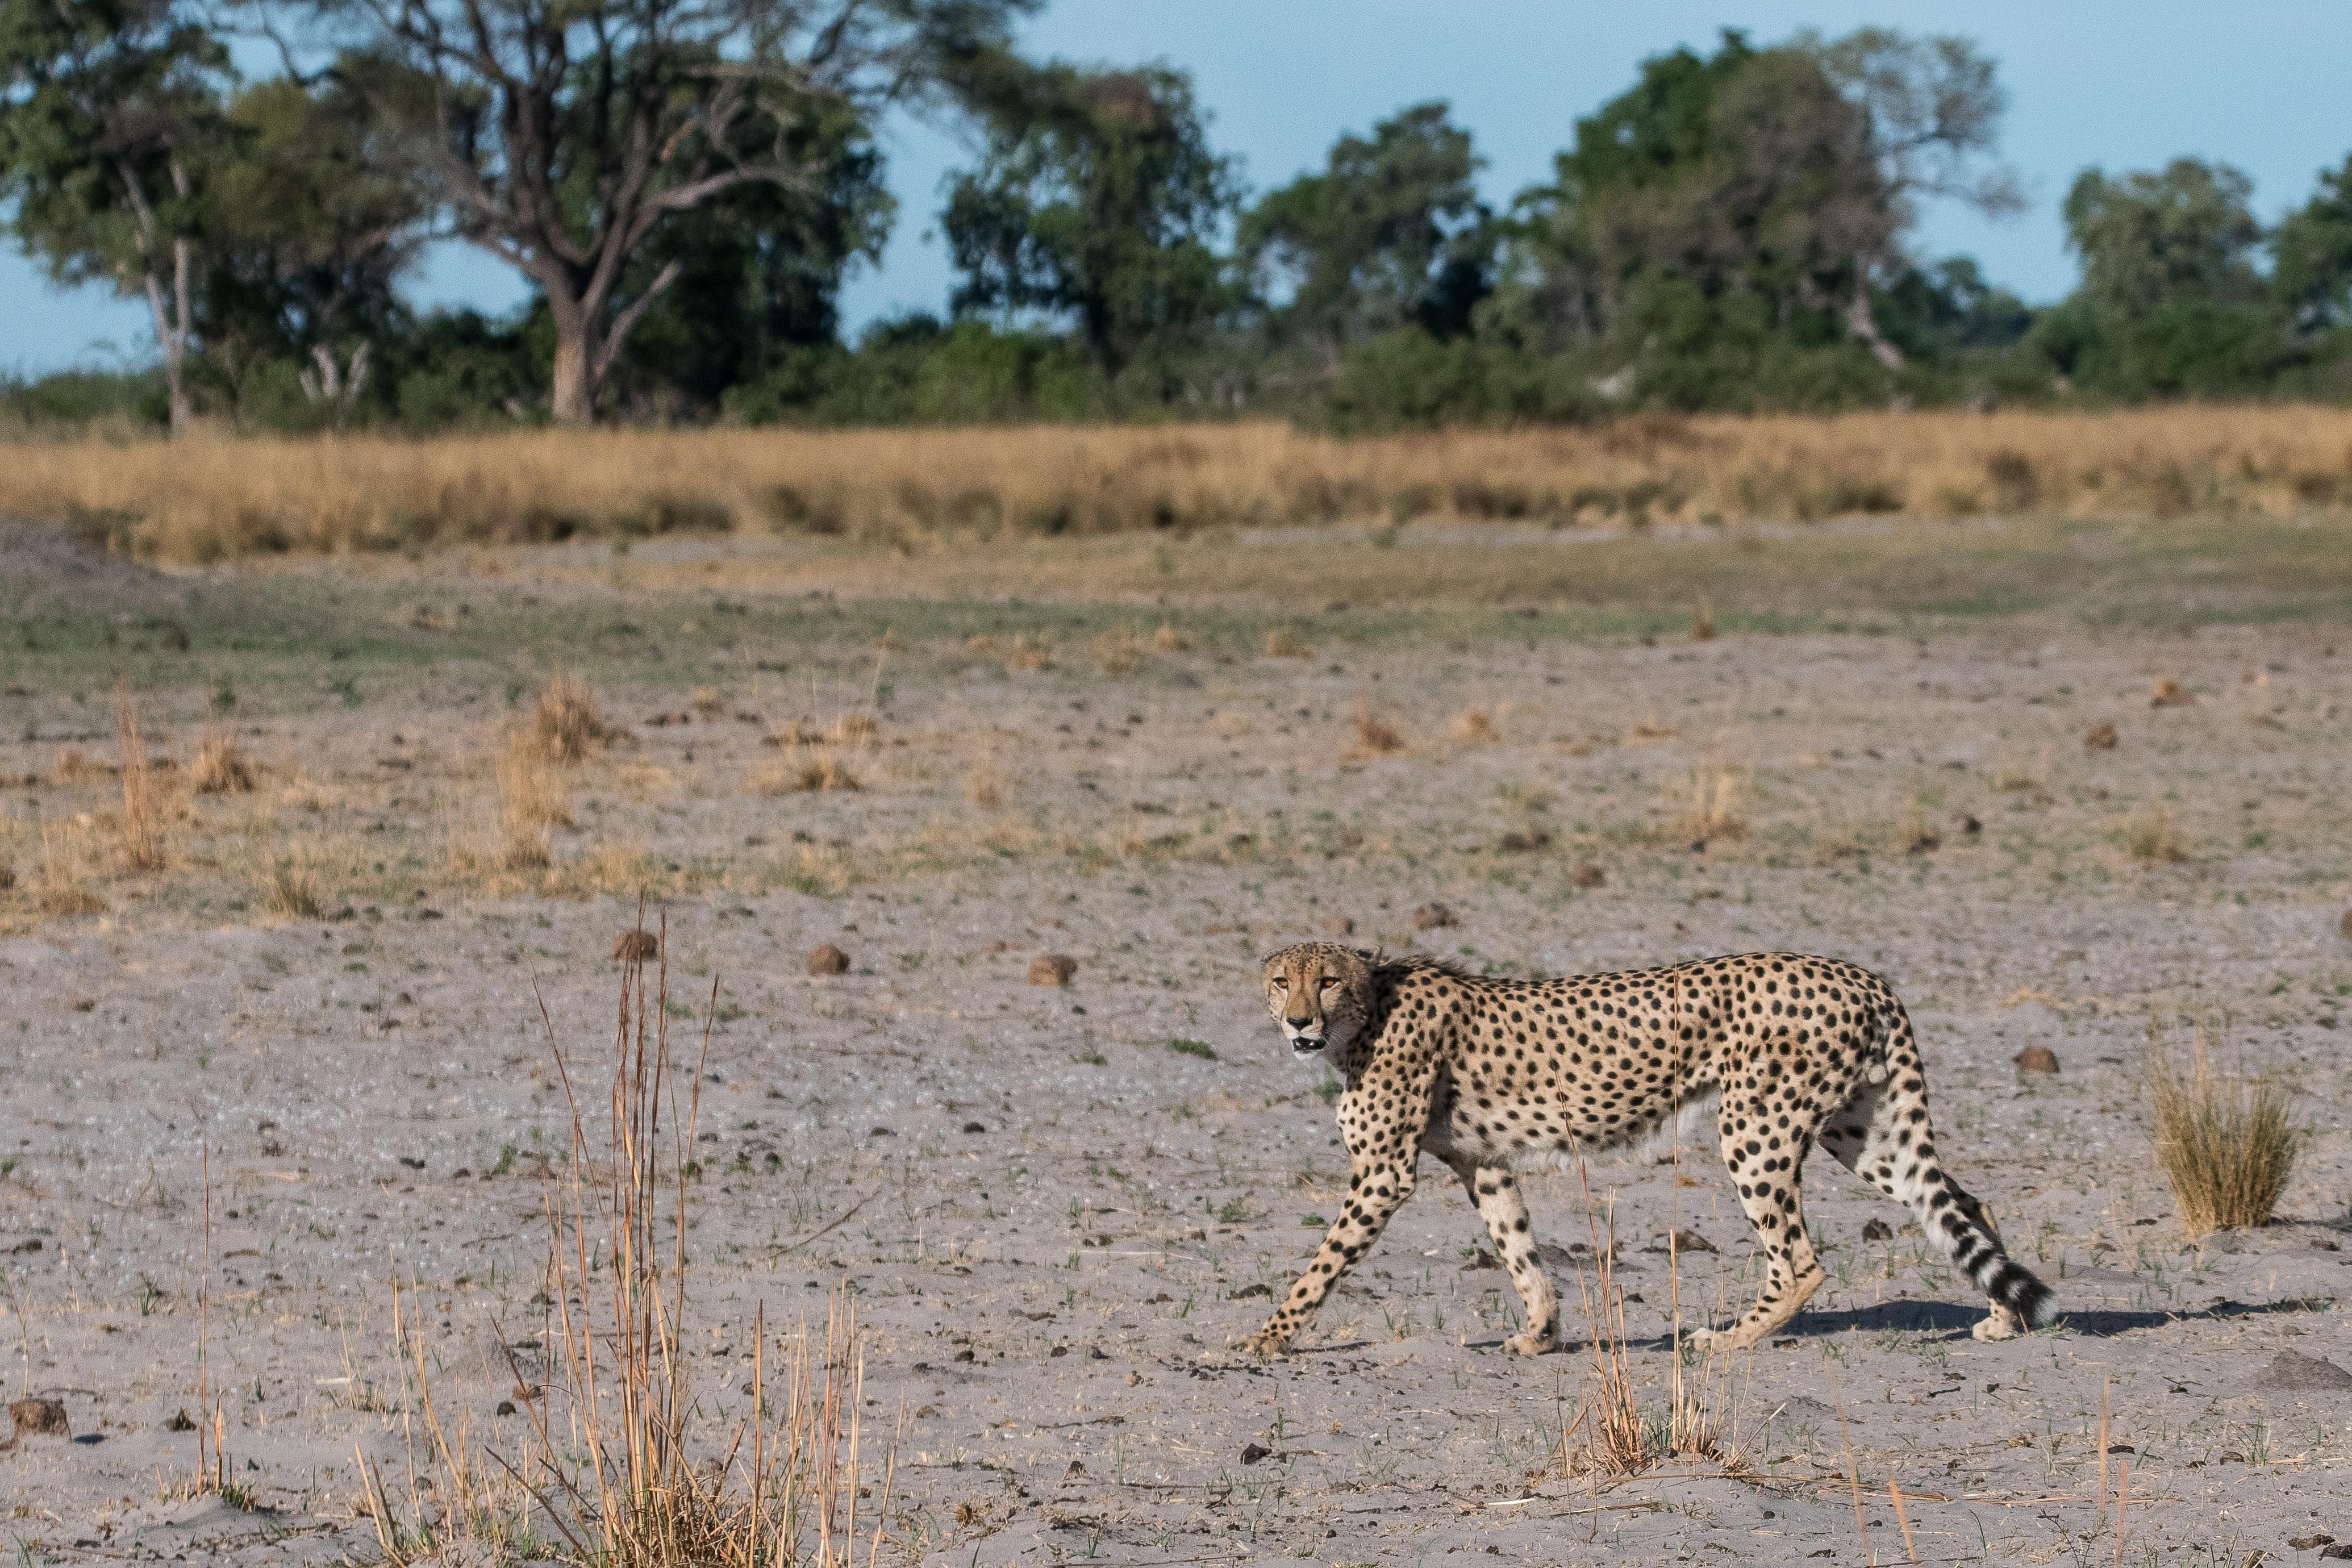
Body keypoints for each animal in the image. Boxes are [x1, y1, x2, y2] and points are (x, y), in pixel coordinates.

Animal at [1241, 945, 2051, 1363]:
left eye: (1328, 979)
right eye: (1282, 979)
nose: (1299, 1020)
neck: (1369, 1009)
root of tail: (1861, 974)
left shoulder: (1383, 1174)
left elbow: (1320, 1266)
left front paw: (1264, 1339)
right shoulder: (1484, 1164)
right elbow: (1519, 1251)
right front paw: (1540, 1334)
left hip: (1756, 1126)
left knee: (1799, 1260)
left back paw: (1725, 1339)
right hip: (1860, 1129)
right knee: (1962, 1204)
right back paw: (2004, 1319)